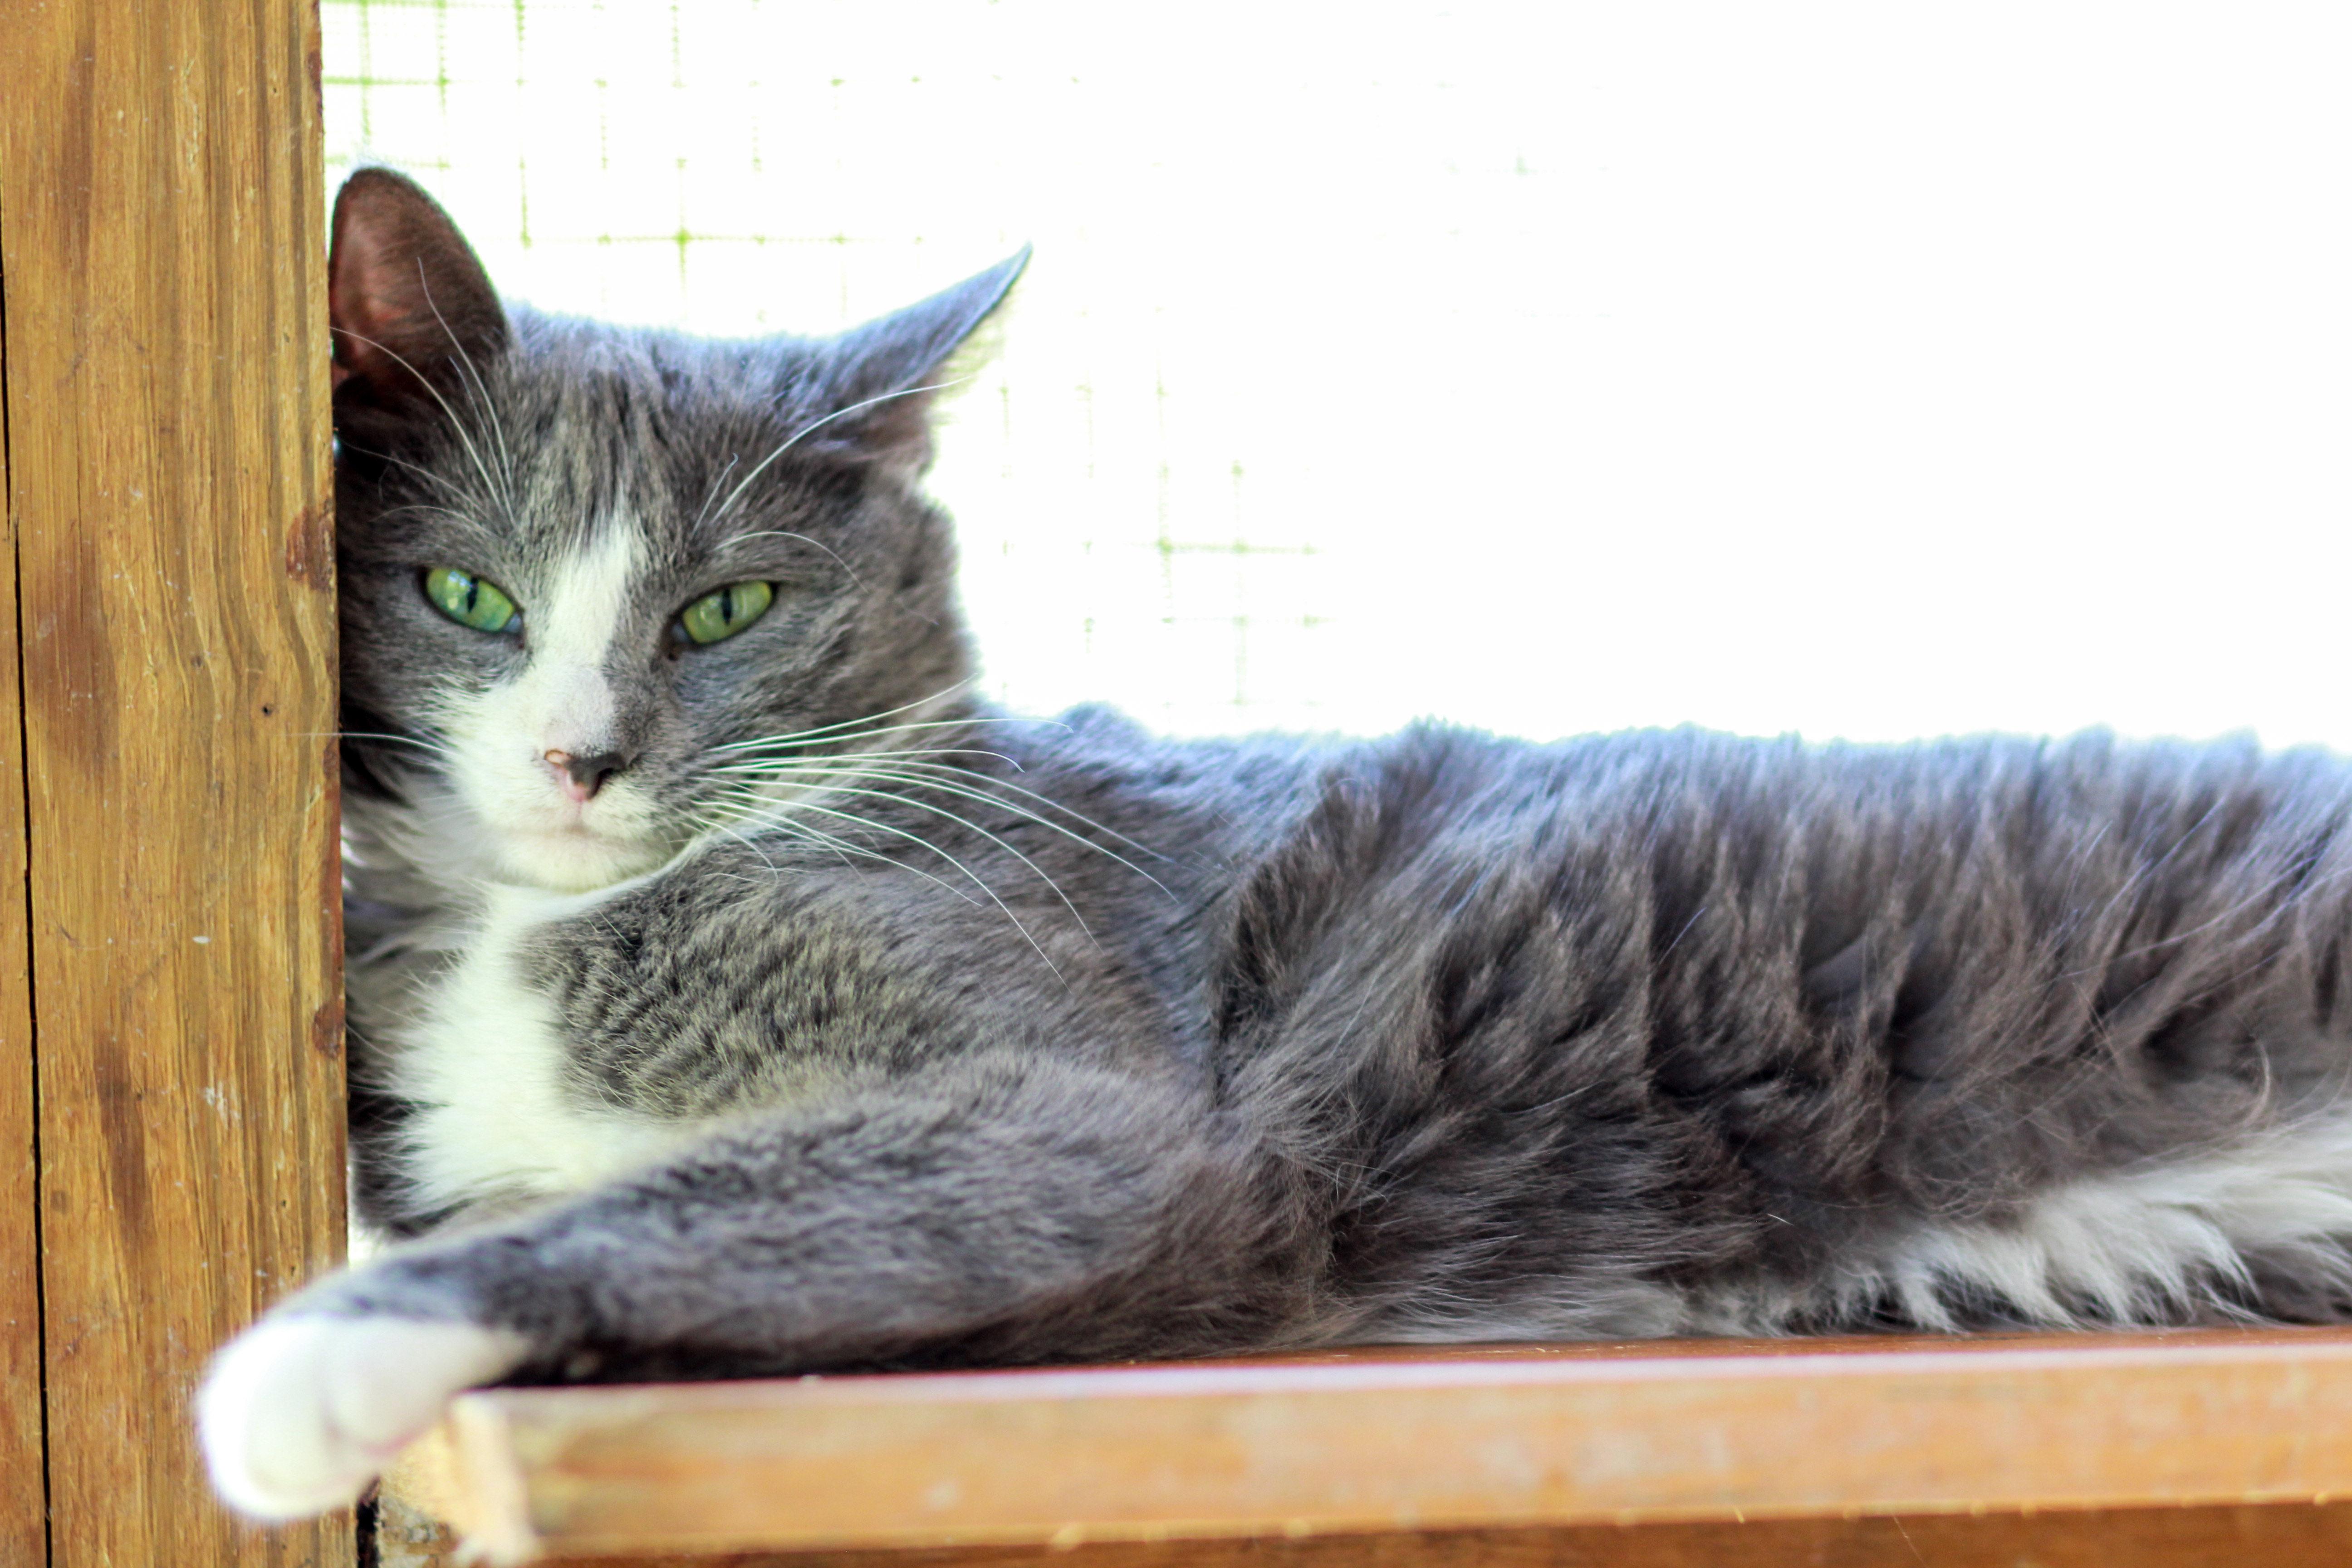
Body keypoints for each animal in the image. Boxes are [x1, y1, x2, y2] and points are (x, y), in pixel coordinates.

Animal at [202, 169, 2352, 1523]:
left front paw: (299, 1366)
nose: (577, 757)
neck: (528, 934)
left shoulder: (1075, 1101)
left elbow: (701, 1194)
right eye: (467, 593)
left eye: (726, 610)